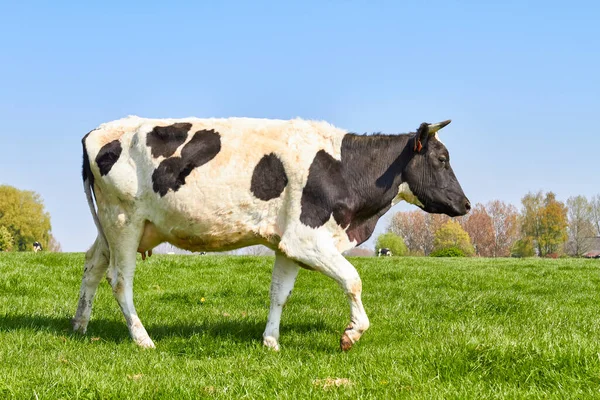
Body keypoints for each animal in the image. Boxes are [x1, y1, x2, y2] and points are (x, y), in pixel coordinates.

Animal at [72, 115, 472, 350]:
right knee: (119, 280)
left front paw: (271, 342)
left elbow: (280, 293)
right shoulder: (307, 238)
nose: (466, 204)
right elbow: (353, 279)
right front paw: (352, 332)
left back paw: (79, 325)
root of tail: (97, 130)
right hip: (123, 220)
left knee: (91, 266)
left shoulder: (287, 243)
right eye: (441, 159)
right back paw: (143, 340)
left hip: (114, 227)